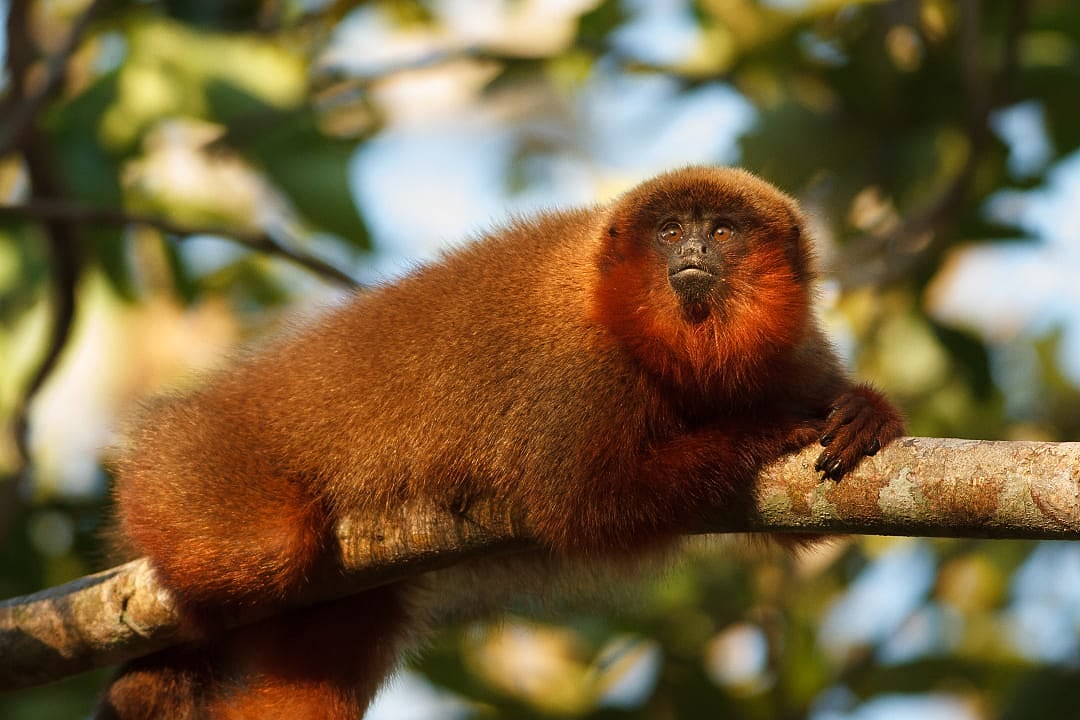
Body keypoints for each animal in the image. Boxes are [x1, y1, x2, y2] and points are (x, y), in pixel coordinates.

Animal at [96, 166, 904, 719]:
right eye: (672, 230)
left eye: (724, 230)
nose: (696, 247)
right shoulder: (583, 368)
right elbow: (583, 505)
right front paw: (761, 430)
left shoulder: (795, 351)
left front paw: (866, 411)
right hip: (193, 469)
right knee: (264, 550)